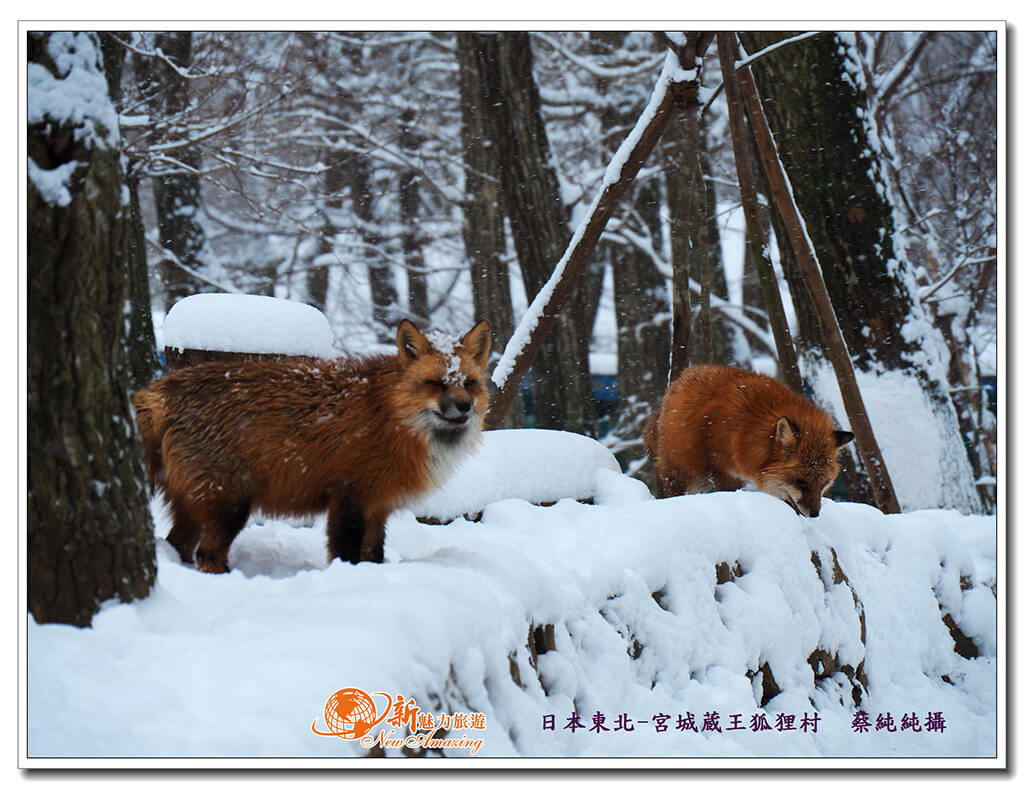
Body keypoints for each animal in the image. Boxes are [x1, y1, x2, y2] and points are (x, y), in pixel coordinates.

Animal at [135, 321, 491, 573]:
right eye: (437, 384)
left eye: (469, 383)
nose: (464, 407)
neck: (389, 416)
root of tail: (159, 389)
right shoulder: (348, 496)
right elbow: (346, 555)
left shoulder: (379, 508)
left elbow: (373, 556)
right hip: (229, 505)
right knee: (206, 555)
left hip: (199, 506)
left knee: (179, 546)